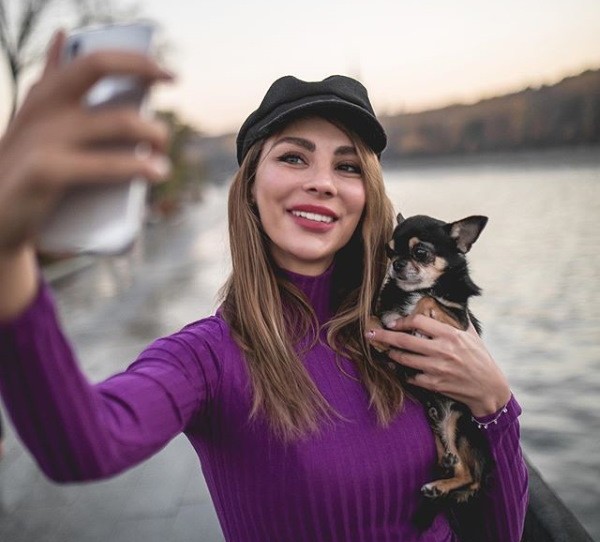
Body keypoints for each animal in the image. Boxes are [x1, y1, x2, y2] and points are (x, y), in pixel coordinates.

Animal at [370, 215, 492, 528]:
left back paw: (440, 486)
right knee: (455, 466)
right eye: (390, 251)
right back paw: (442, 476)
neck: (418, 289)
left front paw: (415, 317)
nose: (397, 264)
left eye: (420, 252)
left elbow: (430, 302)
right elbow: (376, 322)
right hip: (434, 423)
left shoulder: (459, 323)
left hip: (460, 424)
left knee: (472, 478)